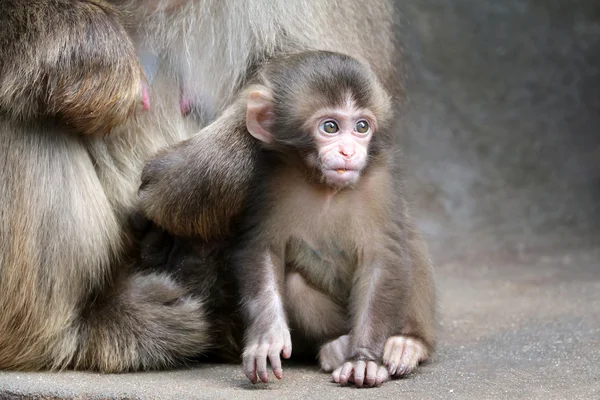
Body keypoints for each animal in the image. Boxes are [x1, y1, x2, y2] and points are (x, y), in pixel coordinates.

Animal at [234, 50, 436, 388]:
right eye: (330, 127)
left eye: (362, 127)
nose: (348, 152)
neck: (326, 187)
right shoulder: (269, 179)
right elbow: (262, 248)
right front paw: (267, 337)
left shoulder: (381, 183)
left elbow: (383, 258)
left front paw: (364, 361)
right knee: (295, 283)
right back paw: (336, 345)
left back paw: (407, 343)